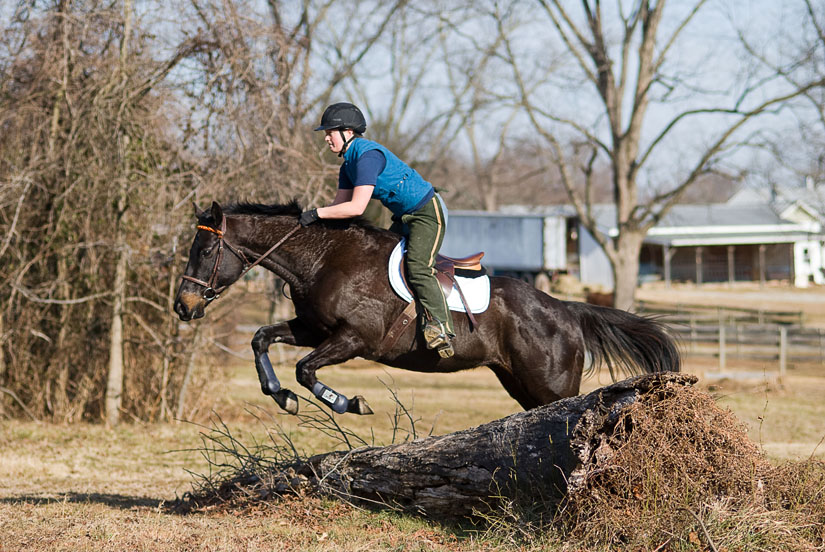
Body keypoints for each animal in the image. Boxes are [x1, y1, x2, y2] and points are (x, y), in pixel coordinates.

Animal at [172, 201, 676, 416]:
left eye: (203, 251)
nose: (183, 306)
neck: (322, 257)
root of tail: (568, 311)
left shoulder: (355, 338)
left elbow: (305, 369)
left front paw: (348, 403)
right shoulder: (315, 330)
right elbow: (262, 339)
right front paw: (283, 398)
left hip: (551, 386)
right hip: (518, 383)